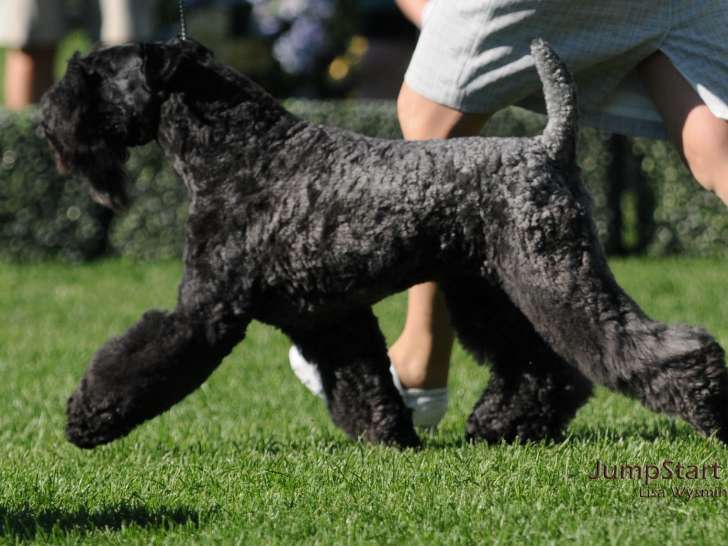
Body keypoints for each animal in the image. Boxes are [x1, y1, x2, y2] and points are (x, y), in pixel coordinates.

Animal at [41, 37, 728, 446]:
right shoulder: (326, 314)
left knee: (649, 346)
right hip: (492, 290)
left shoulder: (205, 309)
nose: (49, 117)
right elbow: (360, 379)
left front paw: (86, 416)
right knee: (541, 367)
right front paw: (388, 438)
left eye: (89, 74)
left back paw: (707, 407)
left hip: (555, 274)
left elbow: (142, 357)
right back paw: (501, 425)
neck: (244, 154)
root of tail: (546, 146)